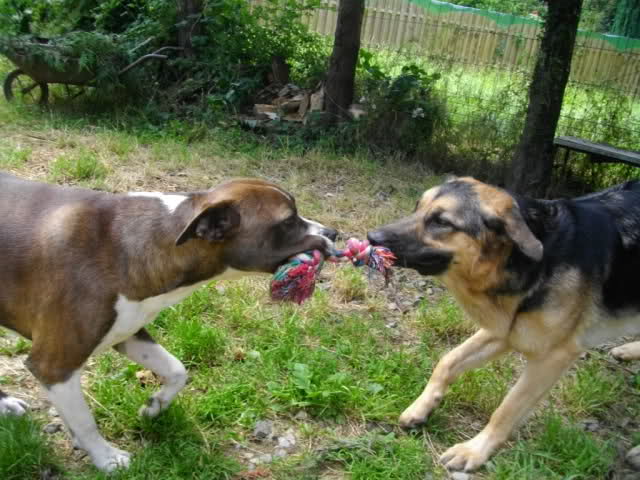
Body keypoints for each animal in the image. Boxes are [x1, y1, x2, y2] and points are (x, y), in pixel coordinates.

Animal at [0, 171, 338, 470]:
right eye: (289, 222)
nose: (334, 233)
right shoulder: (55, 365)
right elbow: (84, 421)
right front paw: (106, 458)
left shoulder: (128, 331)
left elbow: (177, 370)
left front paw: (155, 406)